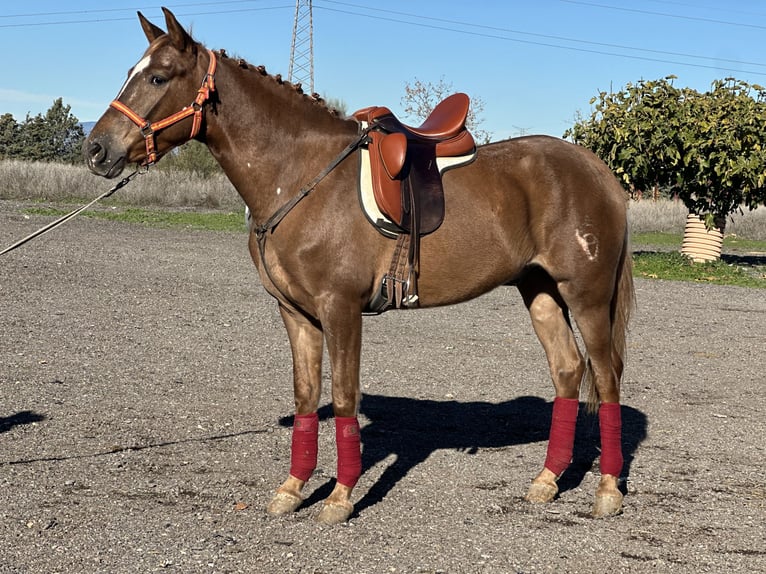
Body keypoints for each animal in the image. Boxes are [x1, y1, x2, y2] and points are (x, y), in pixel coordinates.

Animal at [85, 7, 636, 528]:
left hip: (586, 295)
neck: (301, 175)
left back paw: (608, 491)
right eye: (131, 72)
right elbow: (307, 396)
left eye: (159, 77)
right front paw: (292, 489)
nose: (96, 149)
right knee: (568, 370)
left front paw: (340, 498)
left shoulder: (341, 308)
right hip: (539, 289)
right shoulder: (296, 313)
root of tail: (600, 171)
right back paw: (546, 480)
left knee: (606, 376)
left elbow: (345, 396)